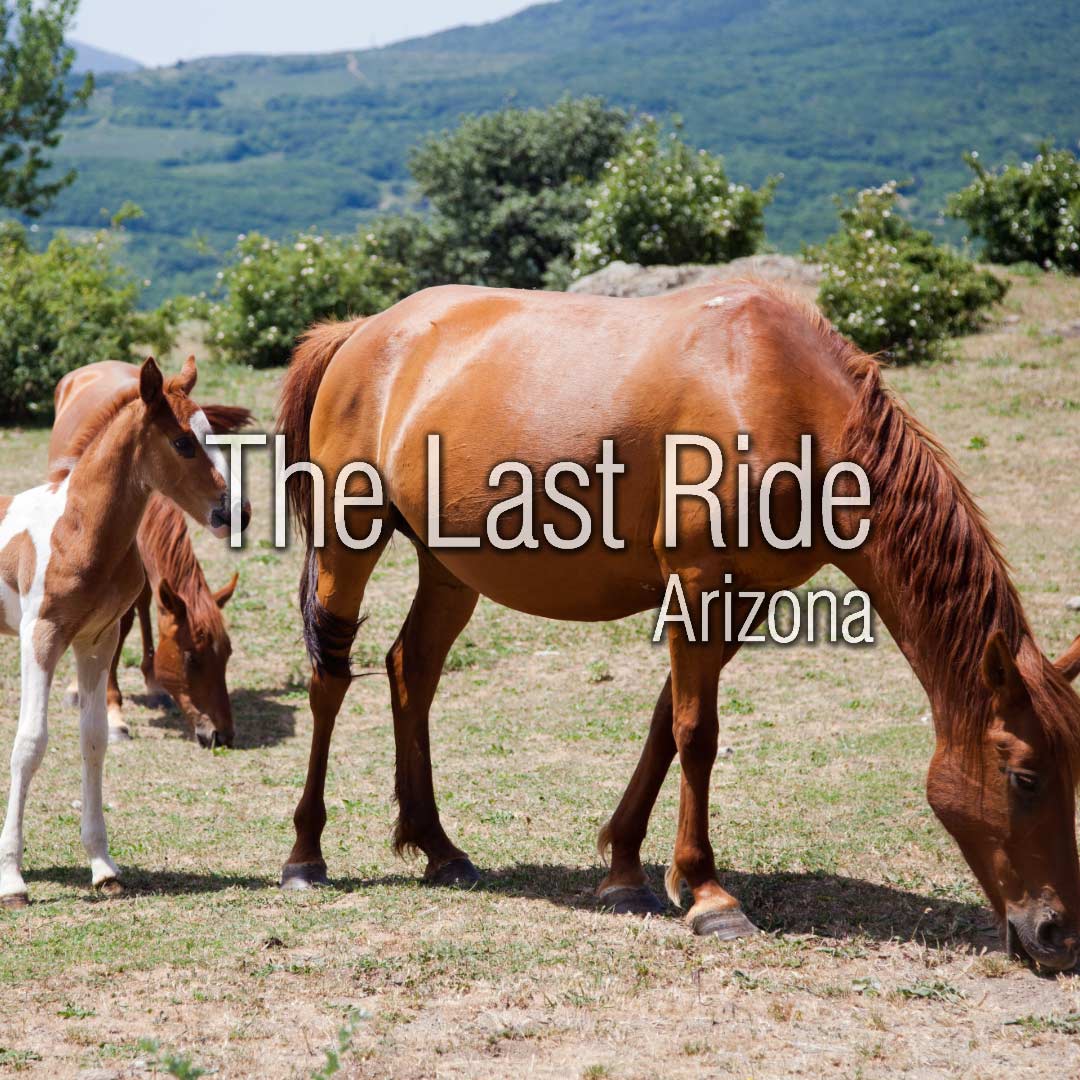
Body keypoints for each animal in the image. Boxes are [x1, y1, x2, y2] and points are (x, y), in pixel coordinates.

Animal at [49, 361, 252, 748]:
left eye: (228, 654)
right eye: (191, 658)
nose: (223, 734)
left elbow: (139, 607)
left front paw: (151, 681)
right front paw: (113, 712)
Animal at [276, 281, 1080, 970]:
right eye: (1025, 777)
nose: (1059, 935)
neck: (783, 395)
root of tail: (366, 330)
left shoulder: (744, 597)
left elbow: (669, 722)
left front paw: (626, 866)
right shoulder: (696, 586)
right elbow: (699, 734)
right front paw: (710, 894)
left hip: (449, 568)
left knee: (411, 670)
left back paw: (437, 847)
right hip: (349, 541)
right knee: (329, 679)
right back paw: (306, 855)